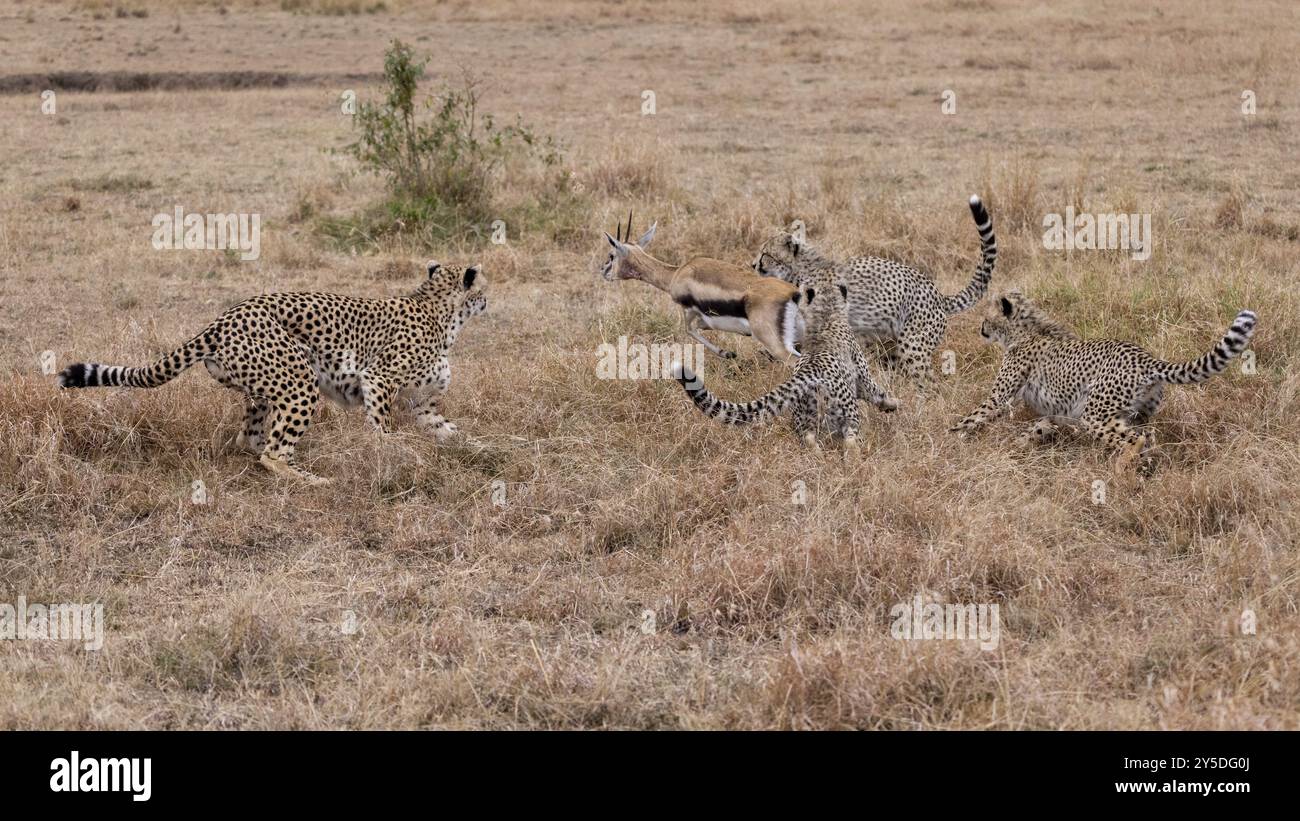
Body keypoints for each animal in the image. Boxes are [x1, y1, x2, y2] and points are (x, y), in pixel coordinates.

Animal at [55, 261, 488, 480]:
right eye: (483, 287)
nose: (488, 300)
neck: (442, 312)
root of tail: (224, 317)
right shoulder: (378, 380)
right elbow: (382, 427)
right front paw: (394, 452)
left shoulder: (423, 405)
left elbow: (451, 431)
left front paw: (482, 449)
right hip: (300, 382)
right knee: (272, 453)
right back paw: (311, 477)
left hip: (265, 386)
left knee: (252, 439)